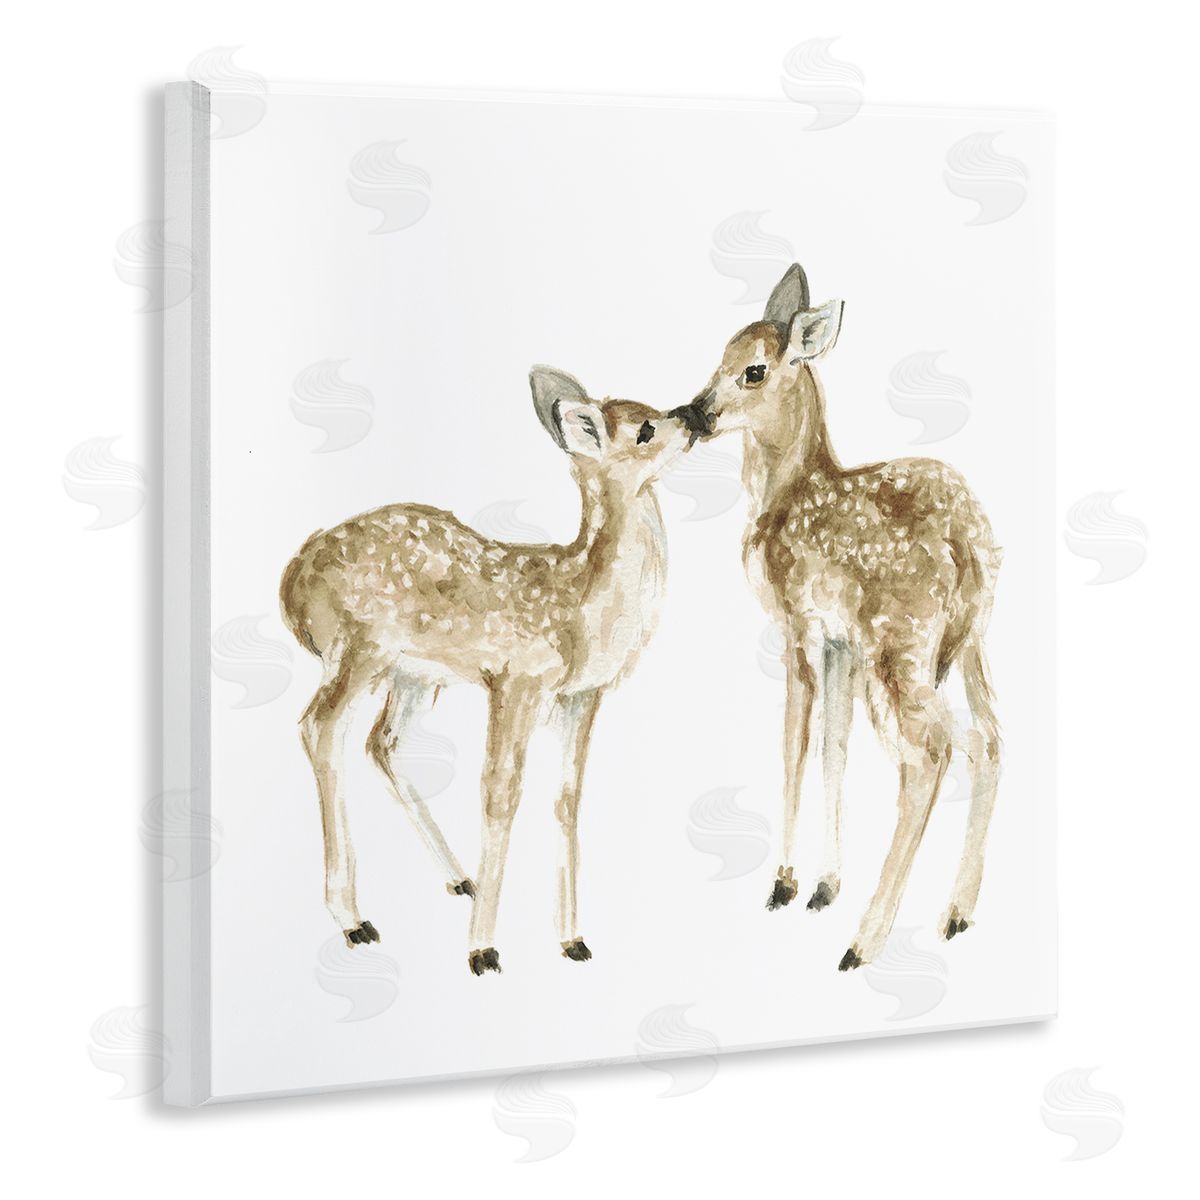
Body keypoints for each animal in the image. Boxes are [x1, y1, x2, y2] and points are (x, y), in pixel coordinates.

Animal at [279, 365, 707, 976]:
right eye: (646, 429)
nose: (695, 414)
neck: (580, 611)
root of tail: (294, 584)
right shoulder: (515, 677)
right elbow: (500, 792)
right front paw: (482, 949)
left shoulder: (581, 696)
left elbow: (567, 798)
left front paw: (572, 939)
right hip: (359, 647)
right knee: (320, 727)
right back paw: (355, 919)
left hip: (413, 674)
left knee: (380, 742)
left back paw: (462, 880)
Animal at [686, 263, 1002, 970]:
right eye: (718, 356)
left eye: (752, 370)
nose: (691, 413)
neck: (782, 494)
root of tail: (968, 545)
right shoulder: (841, 643)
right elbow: (835, 744)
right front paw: (825, 885)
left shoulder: (798, 624)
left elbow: (795, 743)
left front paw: (784, 884)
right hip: (966, 643)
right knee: (987, 739)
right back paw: (955, 915)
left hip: (900, 642)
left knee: (932, 752)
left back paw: (865, 941)